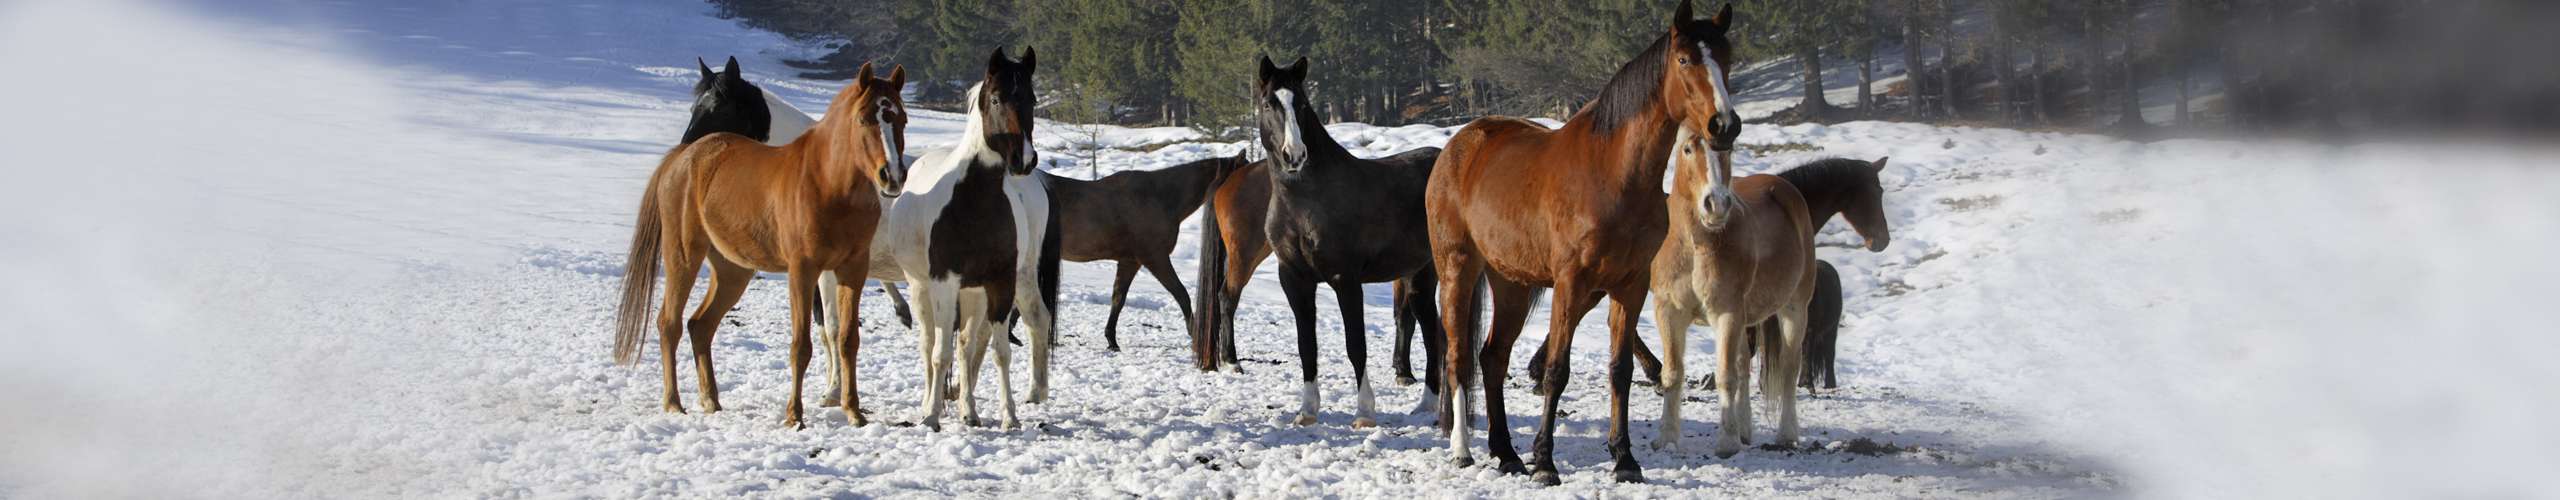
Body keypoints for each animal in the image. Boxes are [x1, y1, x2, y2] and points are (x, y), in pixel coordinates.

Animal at [609, 61, 911, 430]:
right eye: (864, 119)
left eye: (902, 118)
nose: (892, 176)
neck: (827, 182)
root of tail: (683, 159)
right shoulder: (803, 270)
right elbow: (803, 345)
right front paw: (795, 416)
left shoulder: (852, 269)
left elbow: (847, 340)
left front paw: (854, 412)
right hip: (684, 256)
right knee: (669, 323)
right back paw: (674, 404)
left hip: (733, 270)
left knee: (700, 325)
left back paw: (711, 400)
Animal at [870, 47, 1049, 430]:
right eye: (996, 98)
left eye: (1031, 98)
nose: (1024, 160)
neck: (974, 200)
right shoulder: (944, 282)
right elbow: (940, 352)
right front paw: (932, 415)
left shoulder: (999, 283)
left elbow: (999, 351)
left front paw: (1010, 416)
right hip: (922, 287)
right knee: (929, 345)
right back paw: (930, 404)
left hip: (975, 293)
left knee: (968, 345)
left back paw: (969, 411)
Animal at [1423, 0, 1740, 484]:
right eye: (1685, 59)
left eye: (1727, 59)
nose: (1724, 124)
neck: (1613, 175)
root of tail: (1459, 145)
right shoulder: (1572, 283)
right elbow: (1557, 370)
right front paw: (1545, 463)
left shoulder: (1630, 285)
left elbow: (1621, 370)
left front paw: (1624, 459)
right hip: (1458, 269)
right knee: (1458, 358)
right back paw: (1463, 450)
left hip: (1512, 284)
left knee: (1492, 359)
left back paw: (1506, 453)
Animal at [1638, 126, 1822, 458]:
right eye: (1687, 149)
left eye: (1727, 149)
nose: (1717, 205)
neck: (1695, 244)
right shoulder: (1668, 311)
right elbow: (1673, 373)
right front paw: (1667, 438)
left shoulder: (1726, 313)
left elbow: (1725, 376)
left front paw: (1726, 442)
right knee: (1744, 366)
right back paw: (1746, 430)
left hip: (1794, 308)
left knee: (1789, 368)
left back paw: (1786, 434)